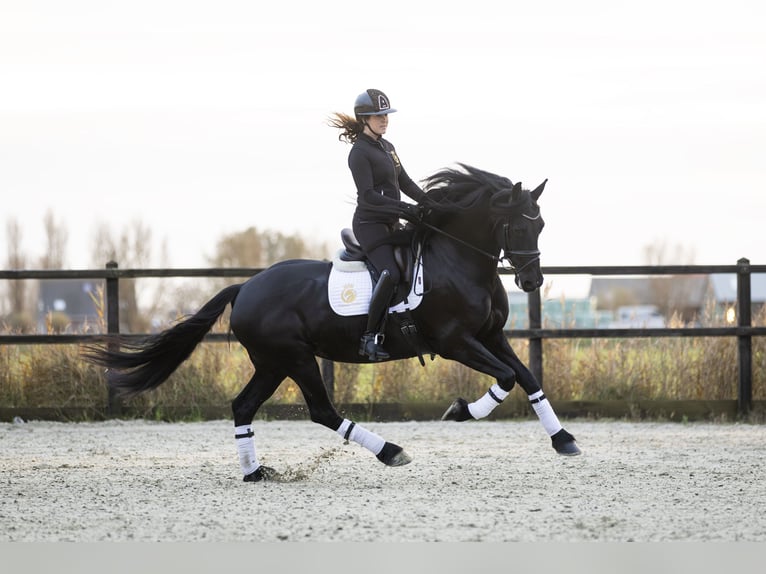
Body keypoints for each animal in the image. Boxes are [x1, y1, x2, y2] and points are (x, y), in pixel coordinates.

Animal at [81, 164, 580, 484]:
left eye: (540, 225)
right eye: (517, 226)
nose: (532, 281)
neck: (457, 259)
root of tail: (245, 287)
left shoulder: (490, 335)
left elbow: (527, 376)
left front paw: (564, 440)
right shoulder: (456, 341)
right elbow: (506, 377)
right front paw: (460, 411)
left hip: (272, 363)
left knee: (243, 406)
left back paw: (256, 473)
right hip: (296, 358)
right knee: (321, 410)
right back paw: (391, 452)